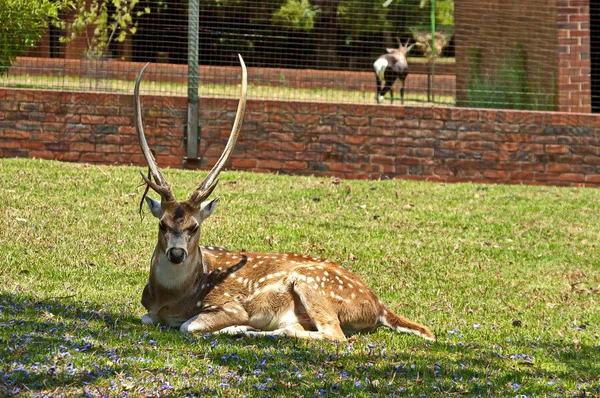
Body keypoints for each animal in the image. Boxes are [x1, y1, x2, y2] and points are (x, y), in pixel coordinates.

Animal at [135, 55, 436, 342]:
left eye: (194, 226)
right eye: (162, 224)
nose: (176, 253)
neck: (171, 299)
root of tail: (379, 305)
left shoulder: (230, 305)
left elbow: (188, 325)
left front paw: (233, 325)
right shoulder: (148, 310)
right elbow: (146, 319)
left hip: (310, 282)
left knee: (333, 334)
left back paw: (244, 330)